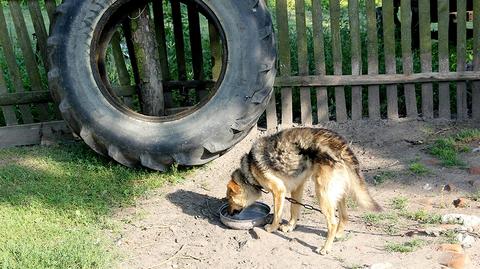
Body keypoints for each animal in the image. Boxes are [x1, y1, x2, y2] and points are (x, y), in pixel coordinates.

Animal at [226, 126, 382, 254]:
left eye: (229, 200)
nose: (229, 213)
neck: (249, 171)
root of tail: (340, 145)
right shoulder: (297, 187)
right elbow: (294, 210)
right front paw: (290, 227)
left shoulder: (279, 191)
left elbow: (277, 214)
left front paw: (272, 228)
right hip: (336, 194)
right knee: (344, 217)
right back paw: (338, 235)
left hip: (322, 194)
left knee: (332, 223)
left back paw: (325, 248)